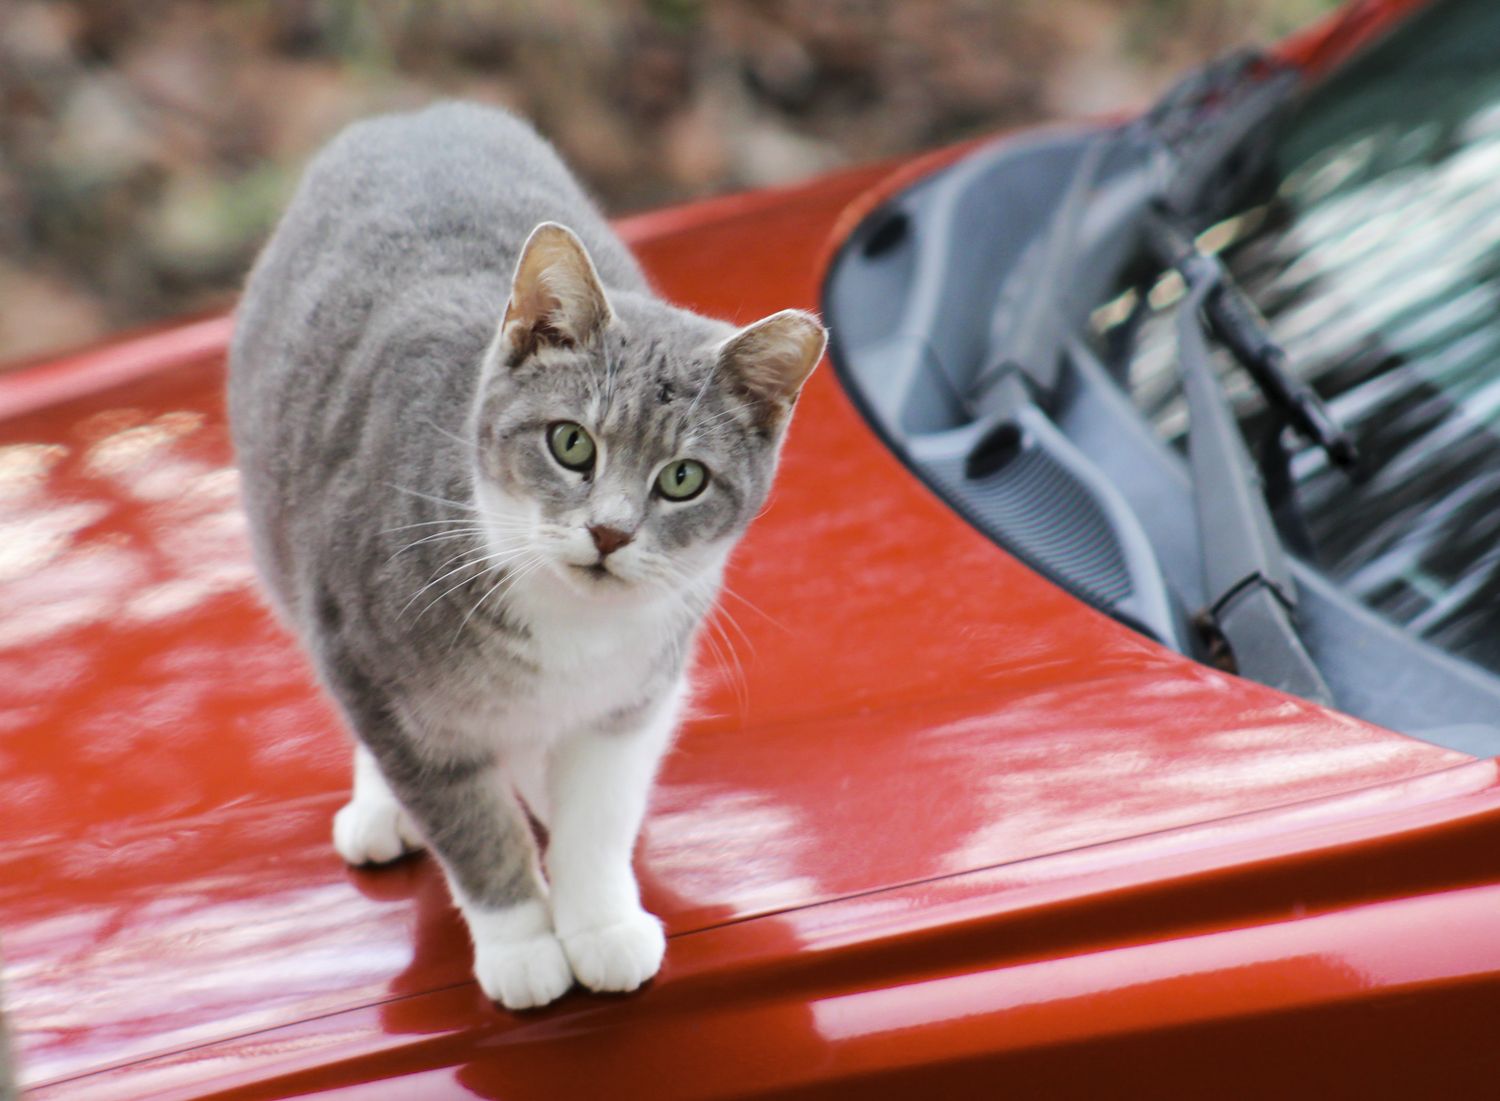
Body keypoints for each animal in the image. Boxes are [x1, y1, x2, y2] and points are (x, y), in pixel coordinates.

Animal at [228, 101, 828, 1008]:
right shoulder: (373, 661)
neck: (568, 622)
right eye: (571, 442)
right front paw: (522, 945)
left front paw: (599, 922)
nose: (609, 532)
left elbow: (598, 814)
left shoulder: (635, 694)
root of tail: (414, 114)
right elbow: (472, 823)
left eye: (683, 477)